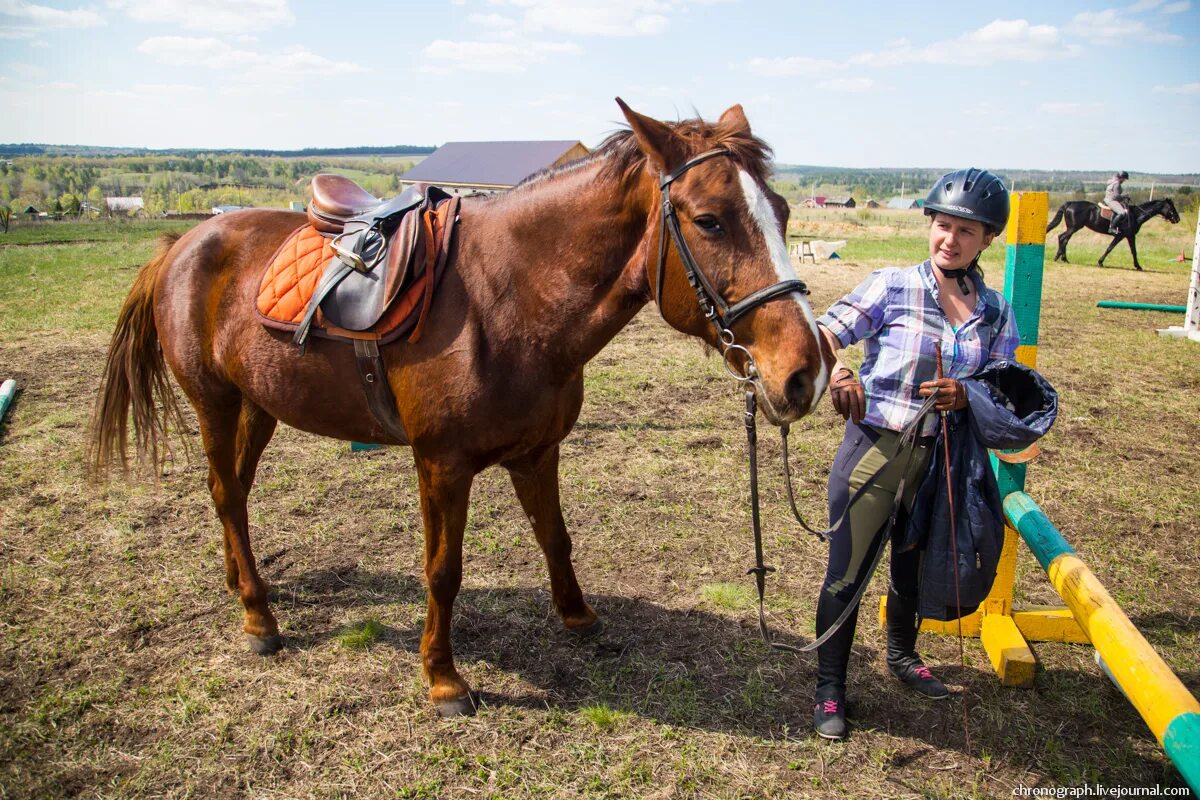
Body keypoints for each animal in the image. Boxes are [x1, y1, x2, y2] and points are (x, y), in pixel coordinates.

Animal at [88, 98, 835, 719]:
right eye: (710, 220)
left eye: (783, 213)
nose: (808, 371)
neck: (505, 300)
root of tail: (183, 244)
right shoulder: (441, 465)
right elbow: (442, 571)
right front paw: (443, 678)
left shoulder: (537, 451)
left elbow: (555, 537)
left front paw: (579, 617)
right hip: (214, 403)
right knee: (224, 492)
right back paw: (258, 619)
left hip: (257, 405)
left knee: (234, 494)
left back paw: (243, 584)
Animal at [1046, 197, 1176, 271]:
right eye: (1171, 208)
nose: (1177, 219)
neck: (1135, 215)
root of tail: (1070, 203)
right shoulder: (1120, 235)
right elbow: (1110, 248)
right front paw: (1100, 262)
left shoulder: (1130, 236)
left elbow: (1134, 251)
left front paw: (1138, 266)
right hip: (1074, 227)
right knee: (1063, 237)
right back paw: (1060, 258)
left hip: (1073, 227)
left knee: (1064, 239)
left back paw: (1062, 258)